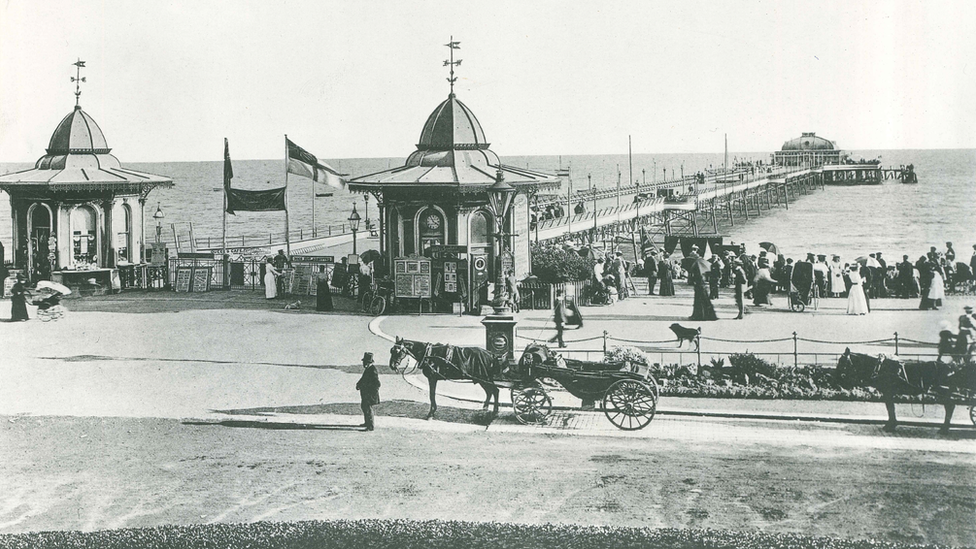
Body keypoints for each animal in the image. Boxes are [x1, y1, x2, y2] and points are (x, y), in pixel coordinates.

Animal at [832, 346, 968, 432]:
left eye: (842, 361)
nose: (836, 376)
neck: (881, 367)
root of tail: (951, 367)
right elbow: (891, 408)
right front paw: (891, 424)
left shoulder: (888, 393)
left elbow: (890, 408)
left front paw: (890, 425)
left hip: (943, 391)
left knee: (950, 407)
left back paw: (944, 428)